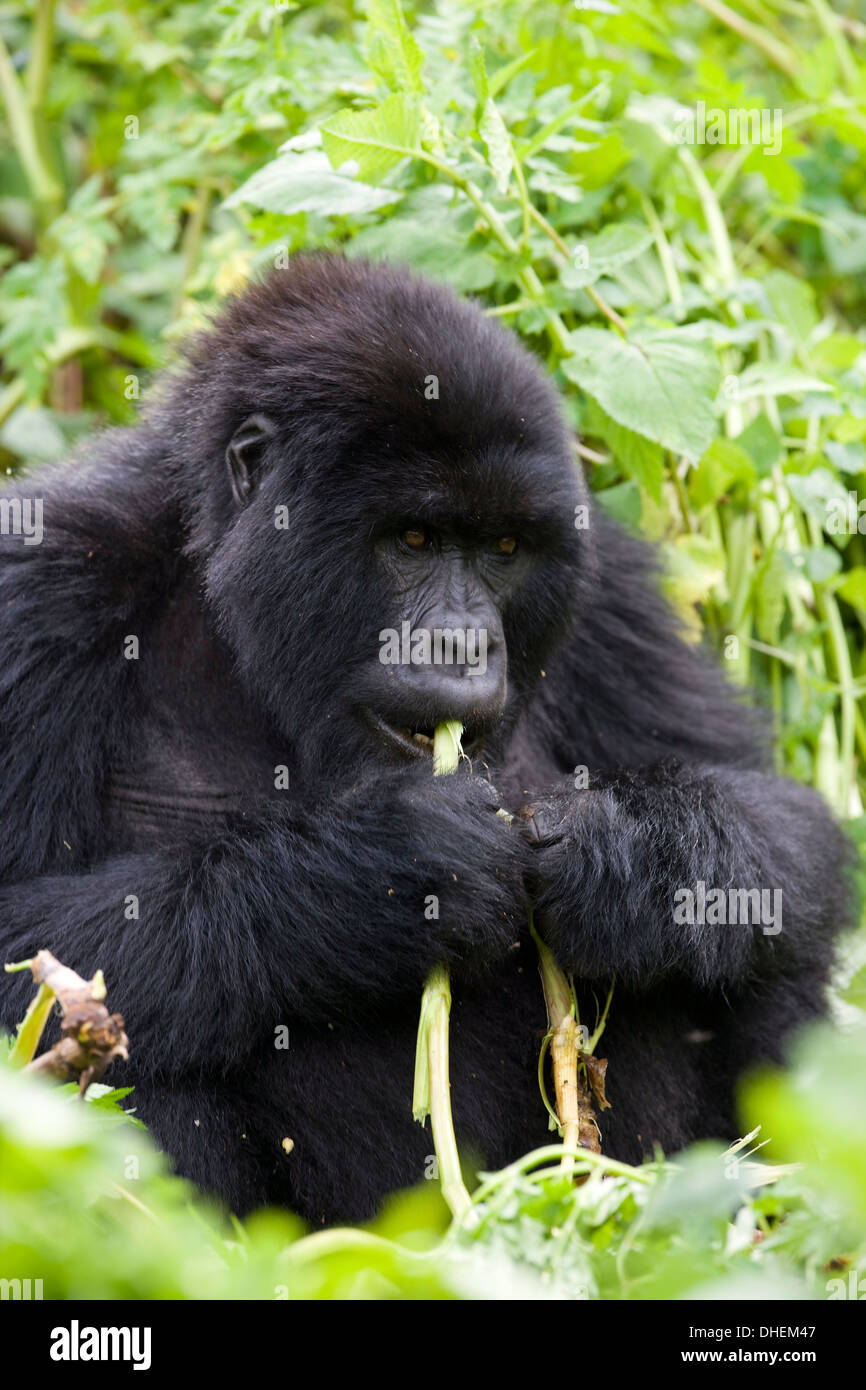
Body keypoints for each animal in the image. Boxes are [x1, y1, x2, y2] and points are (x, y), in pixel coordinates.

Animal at [0, 255, 856, 1223]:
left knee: (771, 938)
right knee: (113, 1035)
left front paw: (635, 860)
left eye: (506, 548)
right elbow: (26, 950)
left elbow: (775, 815)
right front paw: (383, 873)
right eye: (413, 538)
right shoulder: (41, 583)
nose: (465, 645)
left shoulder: (611, 586)